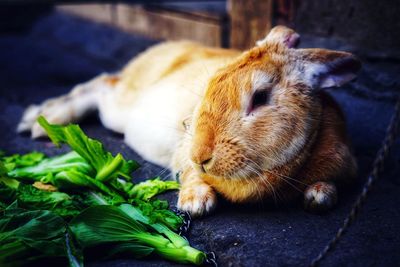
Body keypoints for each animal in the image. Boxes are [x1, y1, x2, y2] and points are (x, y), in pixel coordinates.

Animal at [17, 25, 360, 218]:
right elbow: (189, 173)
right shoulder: (183, 151)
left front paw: (319, 197)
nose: (201, 154)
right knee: (99, 85)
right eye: (213, 82)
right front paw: (195, 202)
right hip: (118, 110)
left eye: (260, 97)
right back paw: (40, 120)